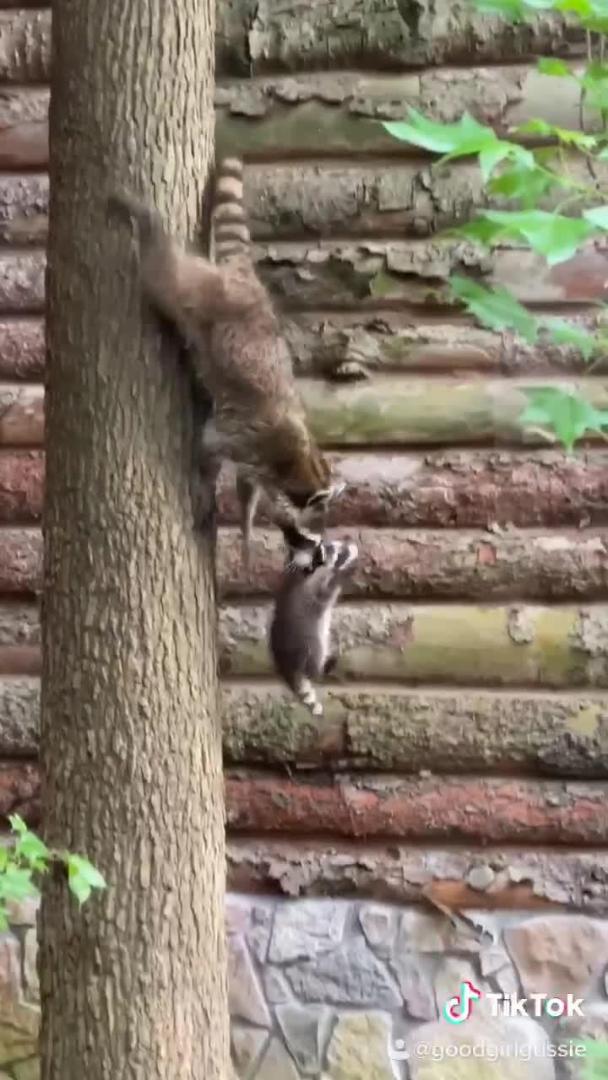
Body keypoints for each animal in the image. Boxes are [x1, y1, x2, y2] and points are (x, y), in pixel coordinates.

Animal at [107, 160, 342, 559]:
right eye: (318, 513)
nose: (319, 534)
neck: (300, 459)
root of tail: (245, 282)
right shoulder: (250, 440)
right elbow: (208, 445)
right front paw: (203, 486)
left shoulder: (260, 460)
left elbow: (247, 485)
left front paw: (249, 525)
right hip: (201, 292)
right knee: (164, 274)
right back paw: (146, 218)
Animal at [269, 526, 358, 717]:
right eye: (339, 552)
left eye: (339, 543)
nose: (351, 542)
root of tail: (286, 664)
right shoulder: (313, 587)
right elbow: (326, 590)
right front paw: (343, 573)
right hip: (307, 641)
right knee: (314, 661)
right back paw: (321, 668)